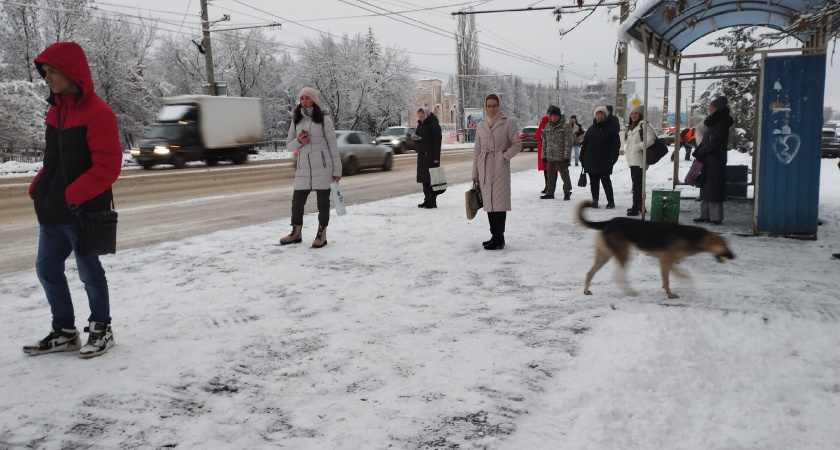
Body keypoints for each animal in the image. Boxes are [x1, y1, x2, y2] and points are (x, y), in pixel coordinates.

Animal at [576, 201, 736, 298]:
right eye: (724, 244)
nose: (733, 256)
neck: (693, 237)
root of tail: (608, 222)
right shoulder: (667, 261)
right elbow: (679, 278)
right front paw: (672, 293)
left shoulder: (667, 262)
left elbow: (670, 278)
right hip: (623, 255)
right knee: (618, 276)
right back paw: (630, 291)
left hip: (605, 255)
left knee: (589, 273)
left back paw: (586, 290)